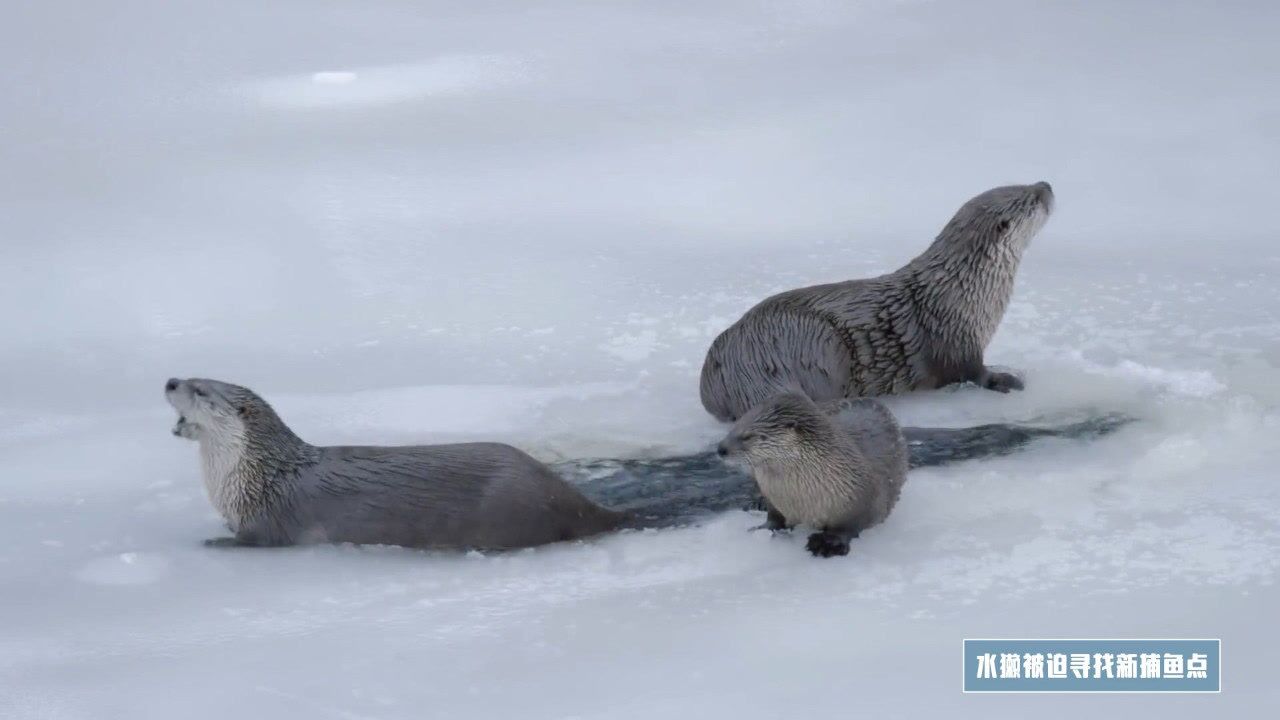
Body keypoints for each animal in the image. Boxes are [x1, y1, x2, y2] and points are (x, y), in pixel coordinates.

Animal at [167, 376, 627, 548]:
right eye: (188, 377)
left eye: (201, 389)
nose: (170, 381)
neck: (258, 479)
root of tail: (578, 503)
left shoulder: (273, 521)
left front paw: (213, 542)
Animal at [701, 181, 1049, 422]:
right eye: (1030, 199)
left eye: (1020, 182)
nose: (1045, 185)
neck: (965, 289)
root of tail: (736, 365)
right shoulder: (954, 336)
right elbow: (970, 371)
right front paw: (1005, 379)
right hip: (814, 340)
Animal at [711, 392, 911, 556]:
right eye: (734, 427)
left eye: (747, 436)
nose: (721, 449)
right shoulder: (774, 498)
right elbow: (775, 517)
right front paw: (764, 529)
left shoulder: (862, 501)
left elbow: (848, 527)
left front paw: (828, 543)